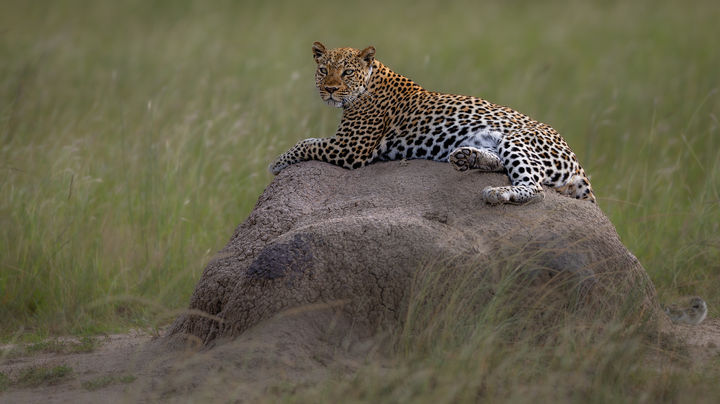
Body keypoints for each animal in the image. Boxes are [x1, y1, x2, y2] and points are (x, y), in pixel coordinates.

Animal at [269, 42, 596, 205]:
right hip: (501, 141)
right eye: (323, 70)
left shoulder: (350, 147)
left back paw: (498, 193)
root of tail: (577, 162)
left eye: (347, 72)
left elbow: (306, 142)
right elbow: (308, 141)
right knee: (501, 163)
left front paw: (276, 162)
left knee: (535, 188)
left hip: (520, 139)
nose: (330, 89)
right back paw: (466, 157)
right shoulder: (345, 144)